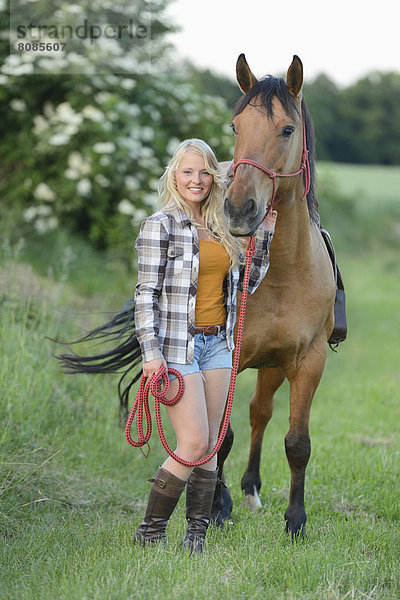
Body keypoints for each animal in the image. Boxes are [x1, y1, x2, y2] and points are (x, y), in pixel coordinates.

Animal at [211, 54, 336, 536]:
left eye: (286, 129)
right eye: (235, 127)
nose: (238, 209)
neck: (281, 270)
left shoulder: (308, 361)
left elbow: (297, 442)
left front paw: (296, 520)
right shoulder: (226, 357)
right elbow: (221, 435)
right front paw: (216, 507)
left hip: (272, 366)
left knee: (259, 411)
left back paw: (250, 488)